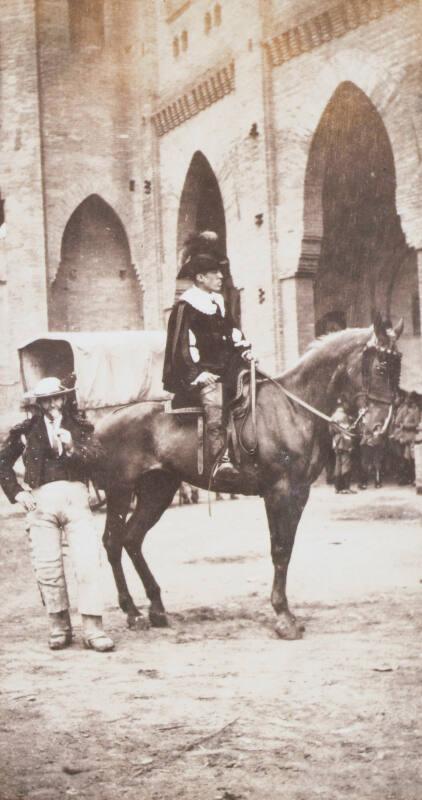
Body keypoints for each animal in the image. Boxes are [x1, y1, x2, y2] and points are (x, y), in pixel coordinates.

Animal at [95, 316, 402, 640]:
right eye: (381, 367)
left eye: (399, 365)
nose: (380, 429)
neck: (293, 409)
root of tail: (103, 422)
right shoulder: (278, 491)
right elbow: (279, 550)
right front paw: (283, 616)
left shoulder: (299, 493)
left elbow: (287, 549)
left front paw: (286, 612)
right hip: (120, 491)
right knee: (113, 542)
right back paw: (132, 611)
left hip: (158, 490)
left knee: (132, 539)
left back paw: (155, 608)